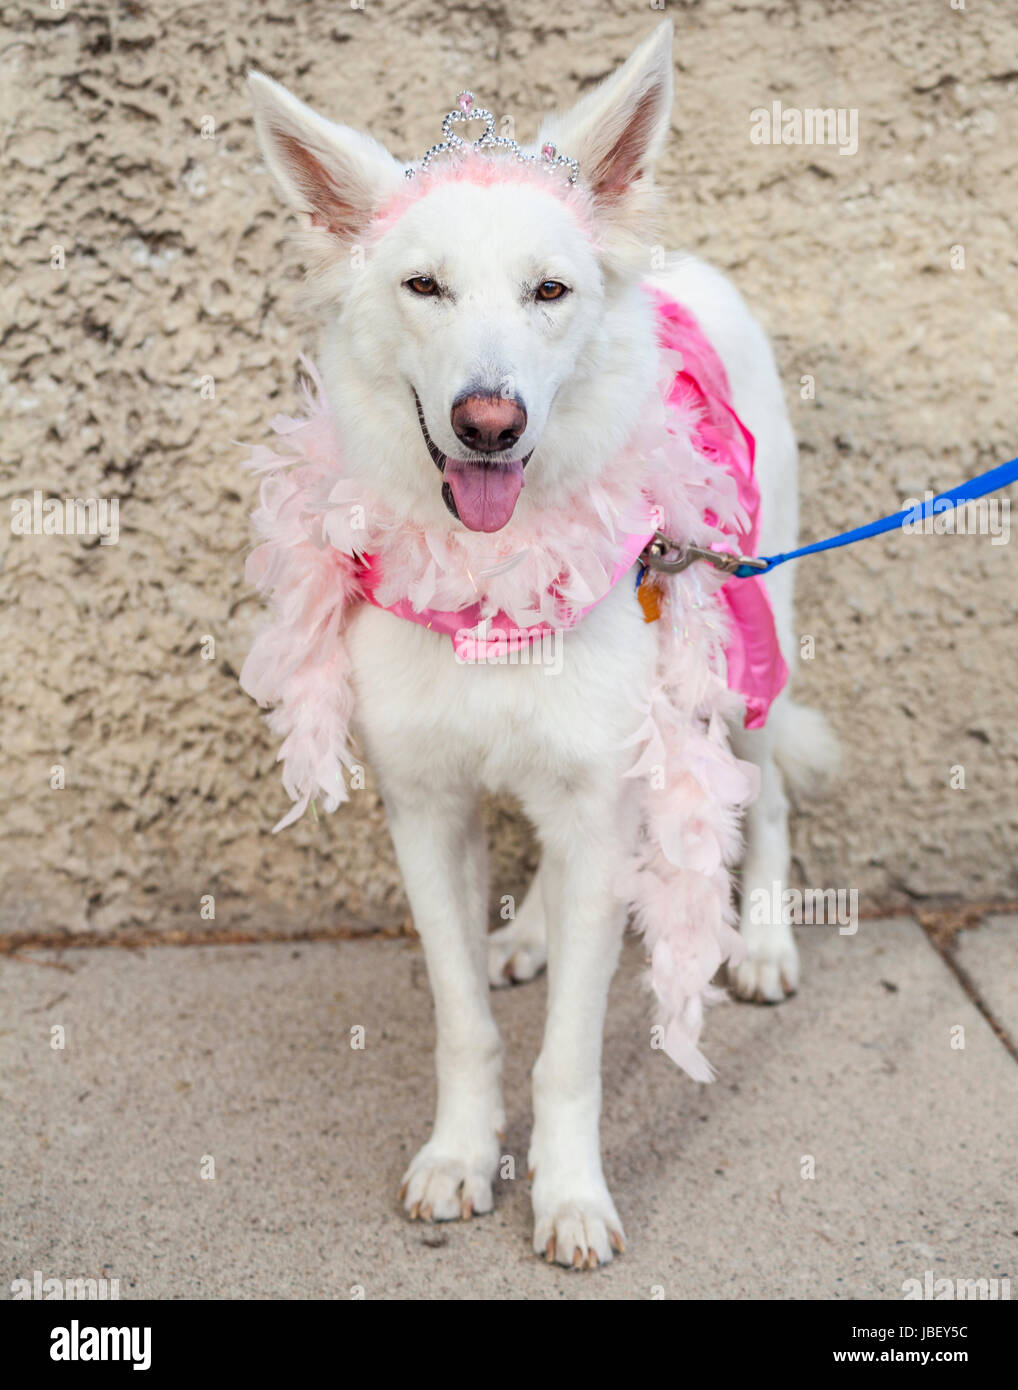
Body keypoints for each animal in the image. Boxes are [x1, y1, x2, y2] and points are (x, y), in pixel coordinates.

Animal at [246, 21, 834, 1267]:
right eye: (423, 286)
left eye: (549, 291)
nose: (489, 422)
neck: (489, 579)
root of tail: (680, 266)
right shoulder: (428, 808)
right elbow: (464, 1019)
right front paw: (460, 1154)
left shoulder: (597, 791)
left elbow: (567, 1057)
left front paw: (568, 1193)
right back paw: (532, 935)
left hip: (746, 635)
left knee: (762, 797)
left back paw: (761, 942)